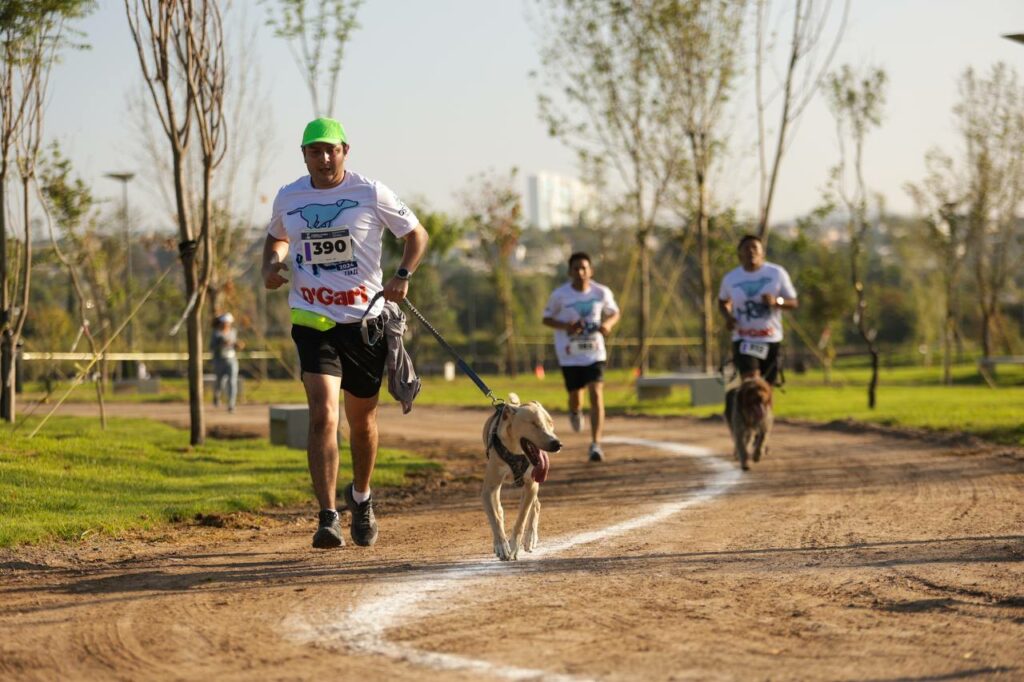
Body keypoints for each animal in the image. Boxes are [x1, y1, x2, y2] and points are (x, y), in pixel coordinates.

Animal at [483, 391, 565, 561]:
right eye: (534, 424)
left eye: (551, 423)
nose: (557, 444)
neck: (516, 451)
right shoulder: (488, 489)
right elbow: (495, 517)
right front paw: (501, 545)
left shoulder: (531, 485)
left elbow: (522, 518)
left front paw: (514, 547)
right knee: (499, 509)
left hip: (534, 485)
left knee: (536, 505)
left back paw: (530, 538)